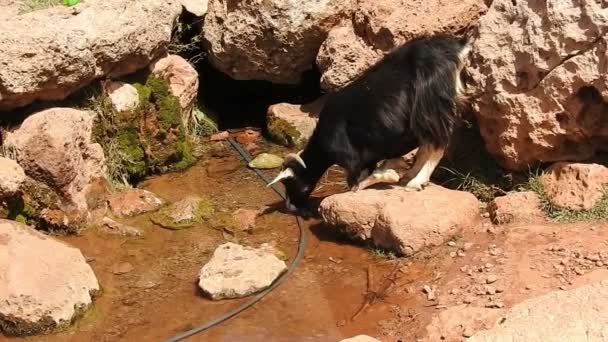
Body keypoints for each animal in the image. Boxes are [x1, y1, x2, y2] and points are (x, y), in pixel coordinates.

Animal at [268, 34, 472, 216]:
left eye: (289, 183)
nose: (290, 207)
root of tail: (456, 49)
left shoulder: (354, 159)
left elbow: (355, 186)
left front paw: (389, 174)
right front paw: (395, 168)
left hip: (430, 105)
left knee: (438, 143)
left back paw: (416, 182)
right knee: (428, 144)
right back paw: (411, 175)